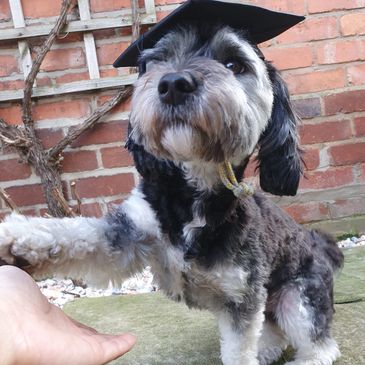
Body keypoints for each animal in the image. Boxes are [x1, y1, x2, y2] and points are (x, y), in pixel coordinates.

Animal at [0, 19, 342, 364]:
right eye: (159, 60)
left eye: (234, 64)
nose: (174, 83)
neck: (193, 197)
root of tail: (318, 245)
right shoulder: (129, 234)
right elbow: (78, 234)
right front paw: (15, 239)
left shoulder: (241, 296)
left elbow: (239, 350)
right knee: (274, 330)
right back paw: (268, 349)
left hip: (298, 298)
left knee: (320, 342)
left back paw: (304, 355)